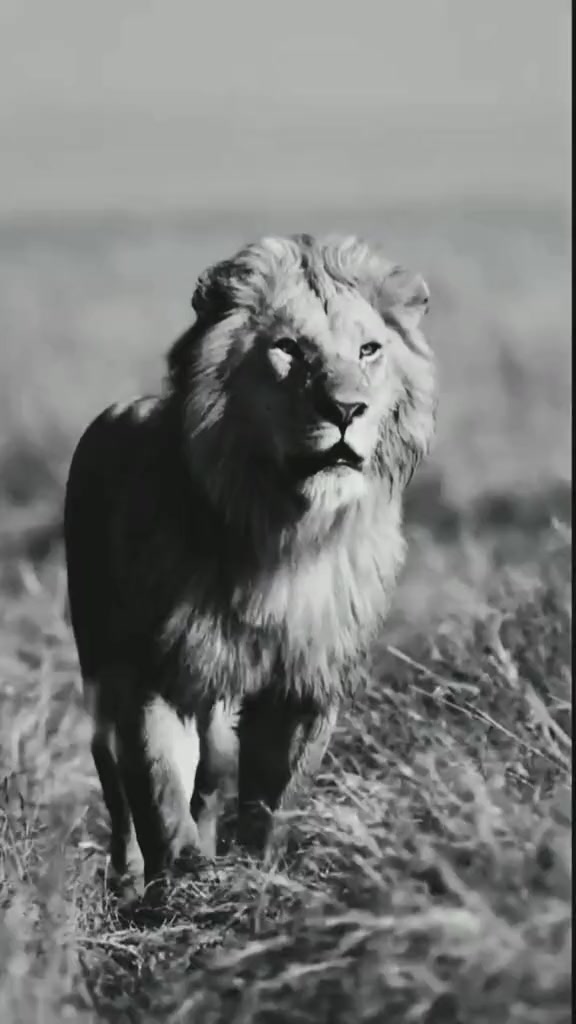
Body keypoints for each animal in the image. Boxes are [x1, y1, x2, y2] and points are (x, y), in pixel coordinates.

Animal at [64, 233, 436, 893]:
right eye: (289, 349)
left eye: (368, 350)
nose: (348, 410)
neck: (284, 529)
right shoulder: (153, 674)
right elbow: (159, 794)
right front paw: (179, 888)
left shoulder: (305, 682)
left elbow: (273, 800)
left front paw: (255, 880)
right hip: (99, 664)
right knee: (116, 786)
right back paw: (127, 880)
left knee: (210, 777)